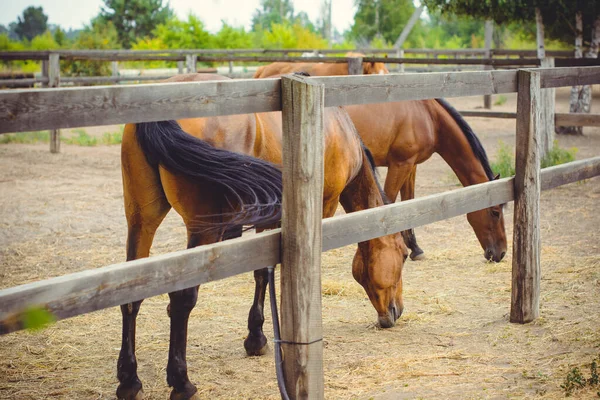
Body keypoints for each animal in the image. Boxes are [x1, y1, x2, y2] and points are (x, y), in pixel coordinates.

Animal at [118, 72, 408, 400]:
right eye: (404, 256)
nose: (396, 312)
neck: (338, 129)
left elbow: (260, 274)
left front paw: (255, 338)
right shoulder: (322, 209)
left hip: (141, 220)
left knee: (131, 295)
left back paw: (129, 380)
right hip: (203, 230)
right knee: (182, 299)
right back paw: (181, 381)